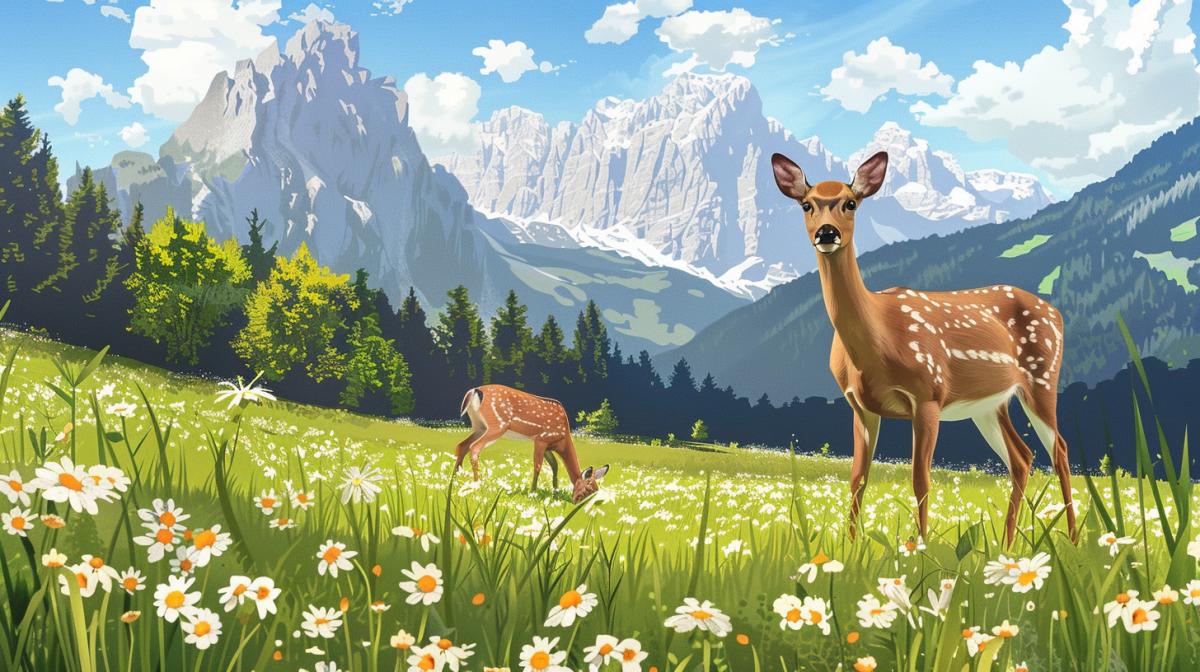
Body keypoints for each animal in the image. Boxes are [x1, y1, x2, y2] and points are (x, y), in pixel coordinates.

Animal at [454, 384, 609, 503]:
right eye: (587, 489)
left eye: (595, 491)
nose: (577, 503)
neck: (562, 439)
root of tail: (475, 390)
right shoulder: (541, 439)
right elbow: (538, 466)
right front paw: (533, 492)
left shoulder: (548, 446)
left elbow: (555, 466)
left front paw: (555, 492)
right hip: (497, 425)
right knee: (474, 447)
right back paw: (477, 485)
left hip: (479, 426)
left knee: (462, 446)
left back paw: (455, 480)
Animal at [770, 150, 1076, 547]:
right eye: (806, 205)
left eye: (850, 203)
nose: (827, 232)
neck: (877, 341)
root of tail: (1057, 313)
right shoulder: (859, 406)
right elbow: (857, 479)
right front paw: (850, 547)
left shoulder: (928, 394)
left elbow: (920, 479)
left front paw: (920, 546)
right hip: (990, 405)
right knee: (1022, 458)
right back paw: (1006, 545)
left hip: (1042, 377)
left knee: (1059, 449)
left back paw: (1073, 539)